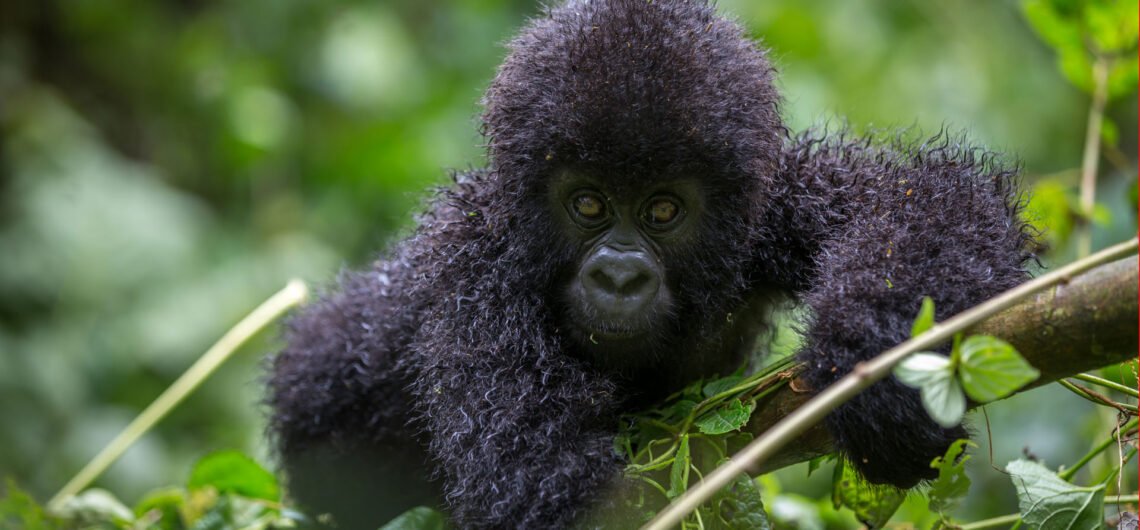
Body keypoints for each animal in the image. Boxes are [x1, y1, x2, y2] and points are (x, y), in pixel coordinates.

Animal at [266, 2, 1035, 526]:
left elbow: (926, 200)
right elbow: (547, 493)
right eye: (588, 204)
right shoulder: (474, 276)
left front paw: (878, 368)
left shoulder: (773, 199)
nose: (619, 276)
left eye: (663, 210)